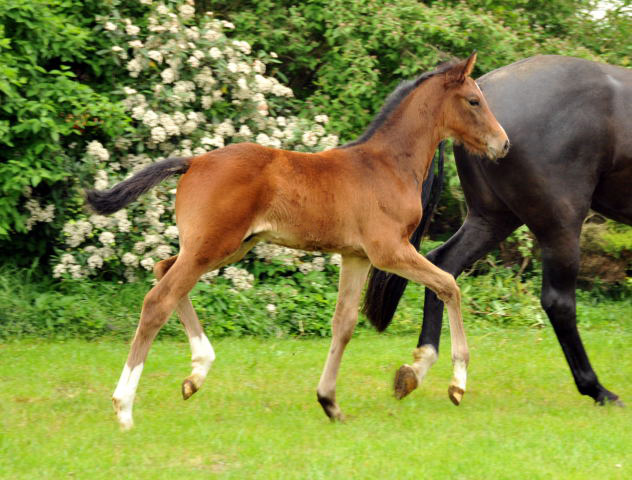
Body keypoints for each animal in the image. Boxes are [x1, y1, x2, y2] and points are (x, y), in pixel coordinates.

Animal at [86, 53, 508, 432]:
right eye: (474, 100)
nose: (502, 144)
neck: (387, 165)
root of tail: (194, 162)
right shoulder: (389, 251)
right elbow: (448, 285)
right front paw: (454, 382)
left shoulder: (356, 257)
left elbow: (343, 324)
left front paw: (329, 402)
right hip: (212, 247)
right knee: (158, 300)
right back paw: (124, 406)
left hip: (225, 247)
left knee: (162, 270)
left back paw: (196, 374)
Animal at [362, 55, 628, 404]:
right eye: (473, 103)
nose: (500, 143)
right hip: (559, 224)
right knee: (558, 301)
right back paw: (596, 388)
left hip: (493, 218)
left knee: (443, 268)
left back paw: (421, 367)